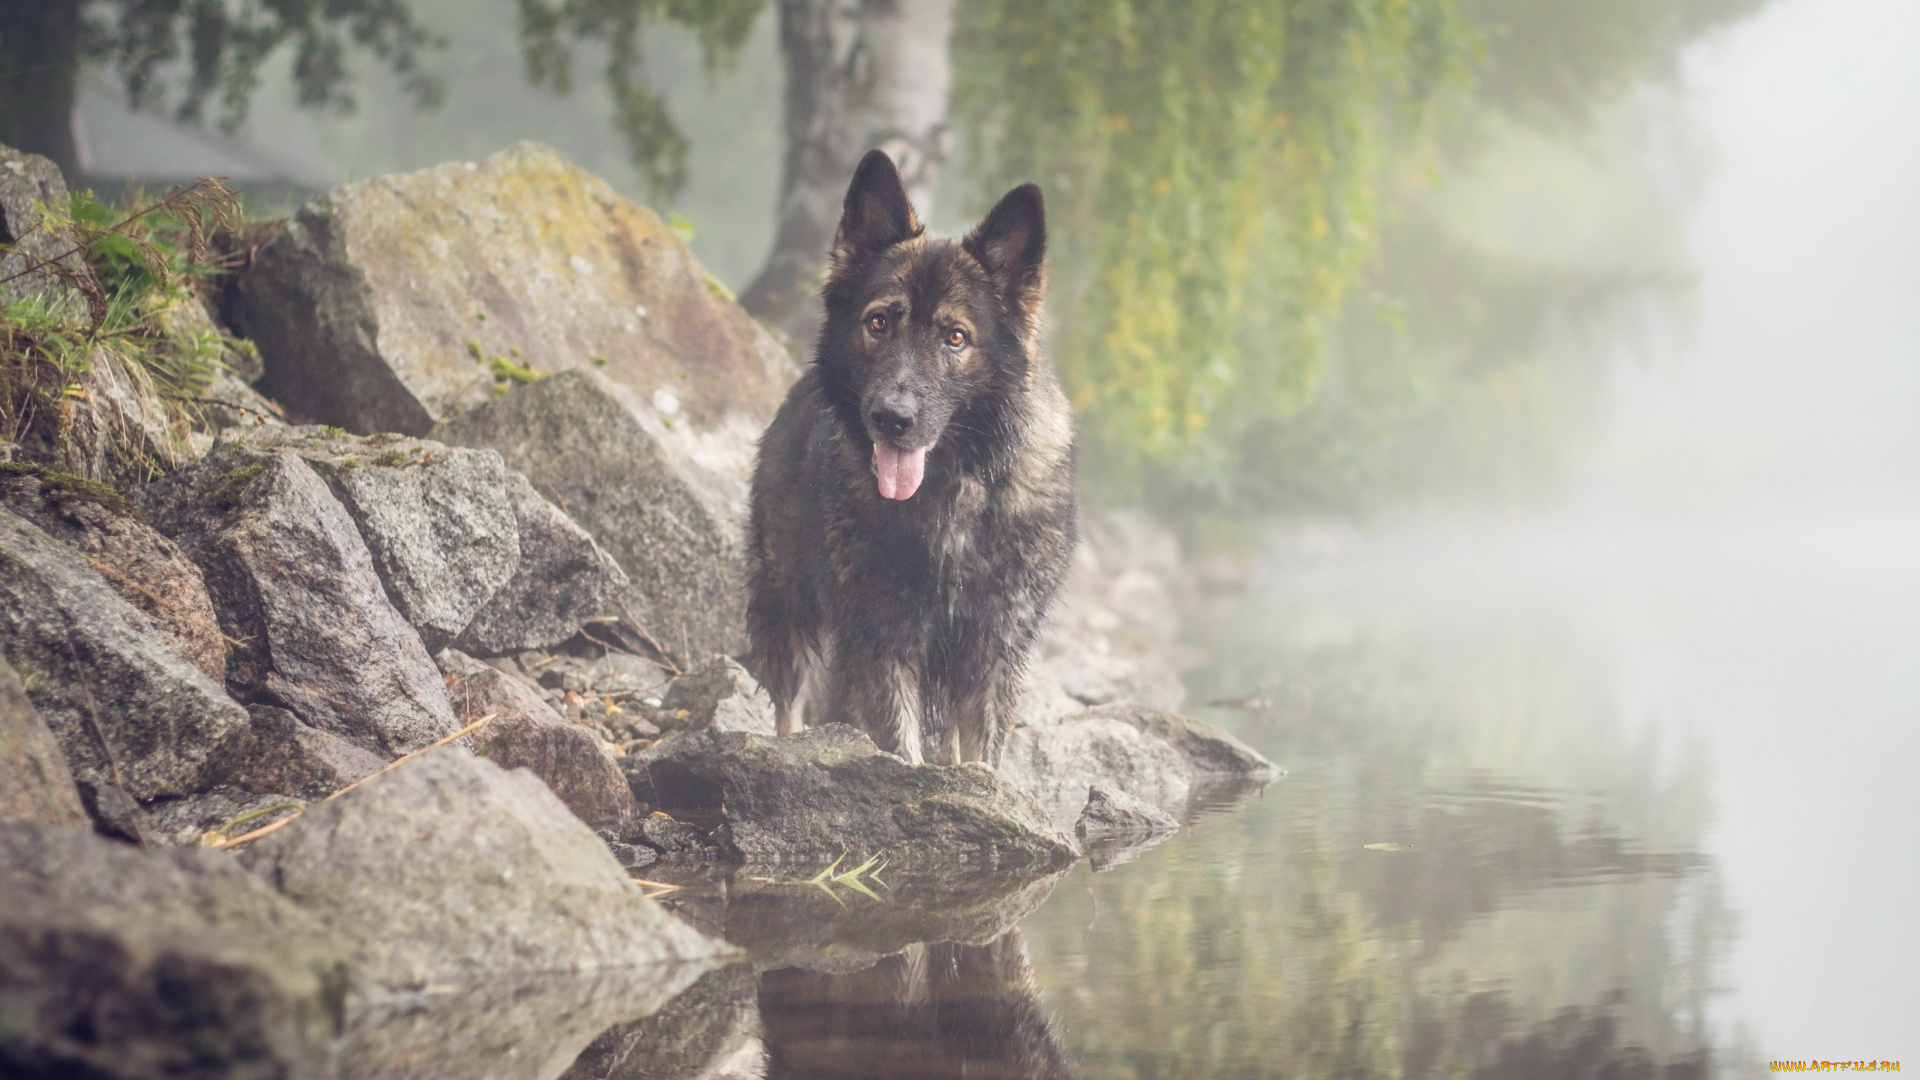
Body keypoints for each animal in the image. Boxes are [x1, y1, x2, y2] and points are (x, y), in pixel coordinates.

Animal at [744, 148, 1082, 764]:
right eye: (879, 322)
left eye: (955, 337)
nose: (891, 418)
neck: (951, 490)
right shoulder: (882, 638)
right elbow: (899, 745)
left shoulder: (993, 646)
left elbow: (981, 757)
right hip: (789, 606)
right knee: (790, 705)